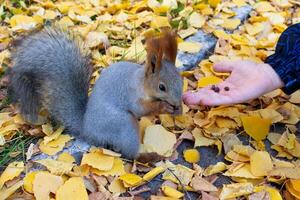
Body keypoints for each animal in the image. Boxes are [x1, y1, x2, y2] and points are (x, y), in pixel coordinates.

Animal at [8, 27, 183, 159]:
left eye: (181, 80)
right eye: (162, 87)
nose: (176, 102)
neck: (141, 82)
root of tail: (87, 129)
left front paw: (178, 109)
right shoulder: (131, 94)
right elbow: (140, 109)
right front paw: (163, 107)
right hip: (122, 124)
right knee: (128, 153)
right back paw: (148, 157)